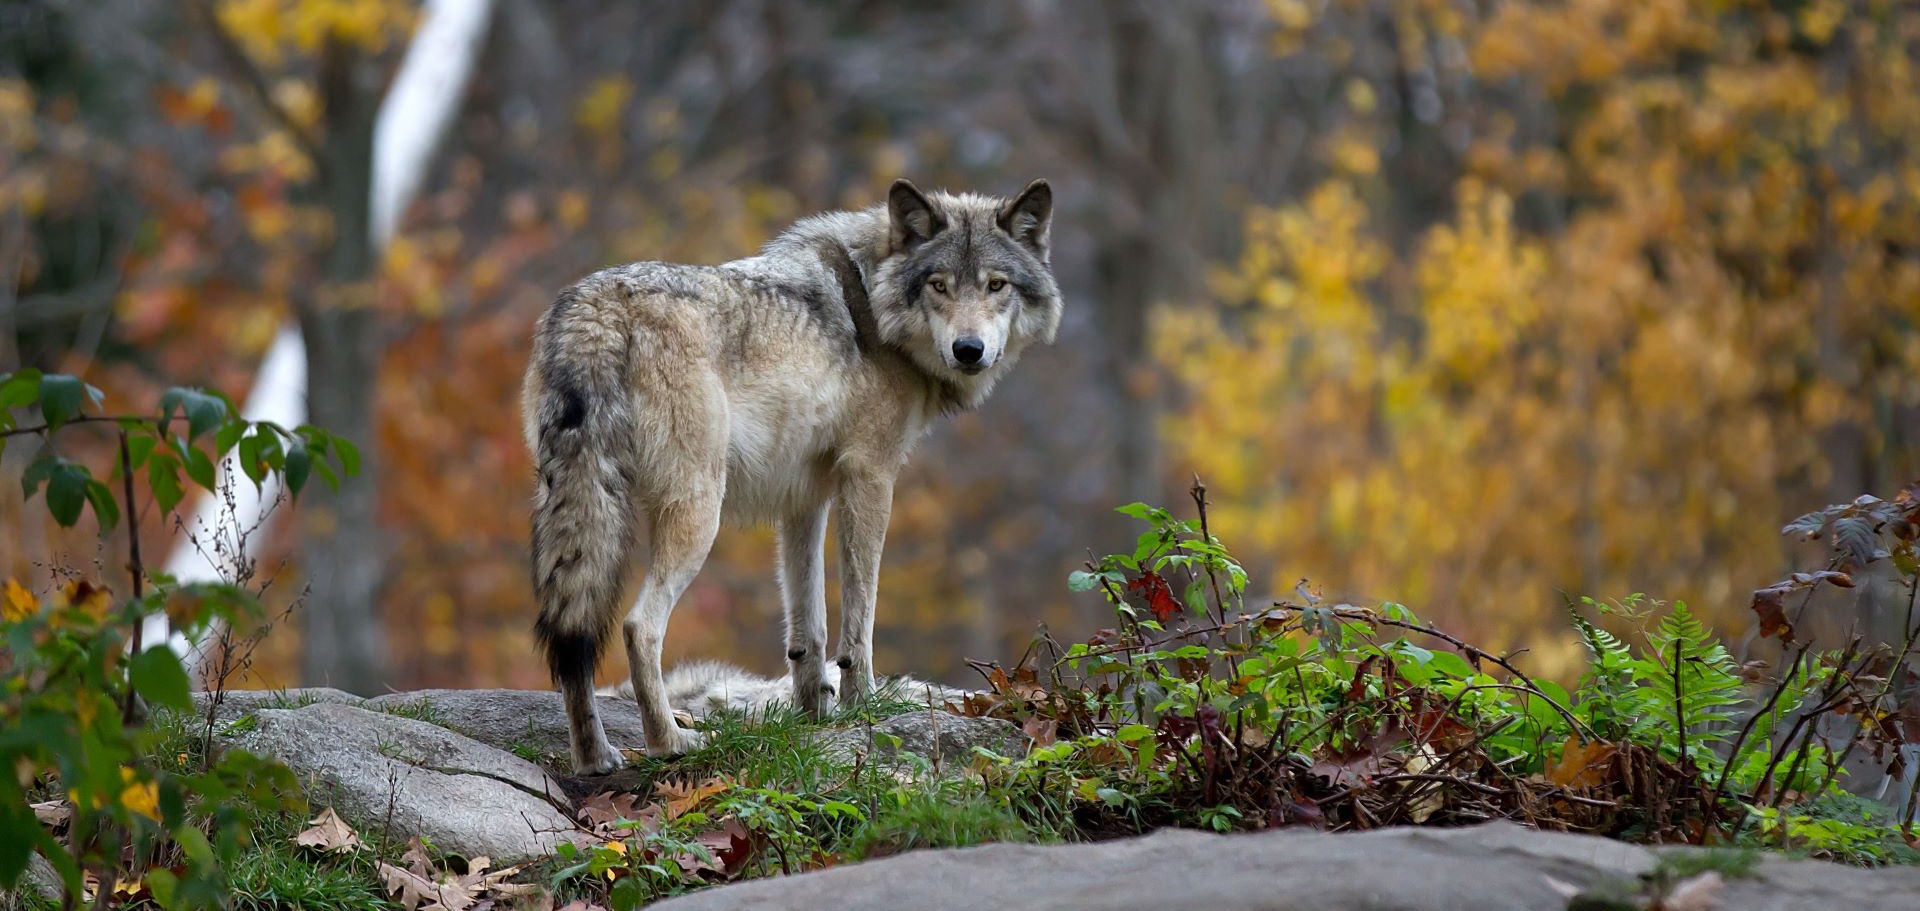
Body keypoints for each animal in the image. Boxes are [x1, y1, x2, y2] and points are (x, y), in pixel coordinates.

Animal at [524, 178, 1061, 774]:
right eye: (939, 285)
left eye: (996, 285)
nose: (969, 350)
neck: (872, 302)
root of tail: (596, 308)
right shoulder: (870, 477)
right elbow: (859, 617)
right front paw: (861, 706)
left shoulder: (804, 498)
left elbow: (810, 627)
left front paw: (813, 716)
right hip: (698, 513)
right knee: (640, 626)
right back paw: (670, 742)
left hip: (578, 507)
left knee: (572, 636)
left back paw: (595, 758)